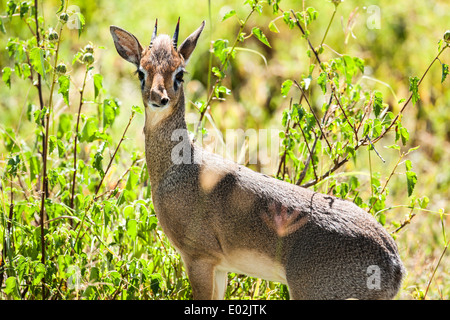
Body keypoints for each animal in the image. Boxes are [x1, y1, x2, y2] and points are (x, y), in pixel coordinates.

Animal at [110, 18, 406, 300]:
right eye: (141, 71)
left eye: (179, 73)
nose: (158, 98)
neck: (178, 169)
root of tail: (394, 264)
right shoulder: (220, 268)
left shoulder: (198, 258)